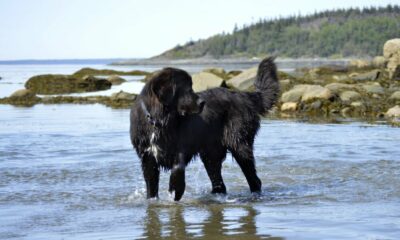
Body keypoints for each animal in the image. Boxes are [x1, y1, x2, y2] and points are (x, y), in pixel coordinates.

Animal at [130, 56, 280, 201]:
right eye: (186, 88)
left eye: (191, 86)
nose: (202, 103)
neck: (159, 121)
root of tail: (243, 95)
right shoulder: (147, 157)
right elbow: (151, 185)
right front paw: (153, 200)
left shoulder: (182, 146)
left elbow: (178, 167)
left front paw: (176, 190)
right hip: (211, 153)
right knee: (219, 181)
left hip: (239, 144)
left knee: (253, 178)